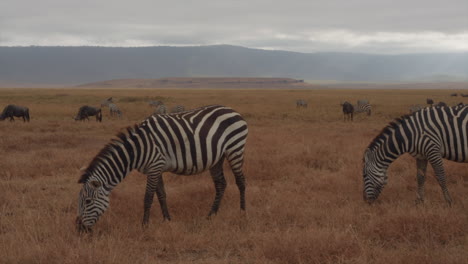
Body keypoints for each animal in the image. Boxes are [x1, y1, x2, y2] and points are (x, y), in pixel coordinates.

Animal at [76, 104, 249, 232]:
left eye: (88, 201)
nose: (79, 229)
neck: (138, 149)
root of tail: (232, 110)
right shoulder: (156, 169)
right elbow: (161, 195)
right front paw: (167, 219)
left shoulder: (154, 167)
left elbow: (148, 197)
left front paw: (144, 225)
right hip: (217, 158)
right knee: (221, 184)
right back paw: (211, 215)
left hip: (235, 148)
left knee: (240, 181)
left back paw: (242, 212)